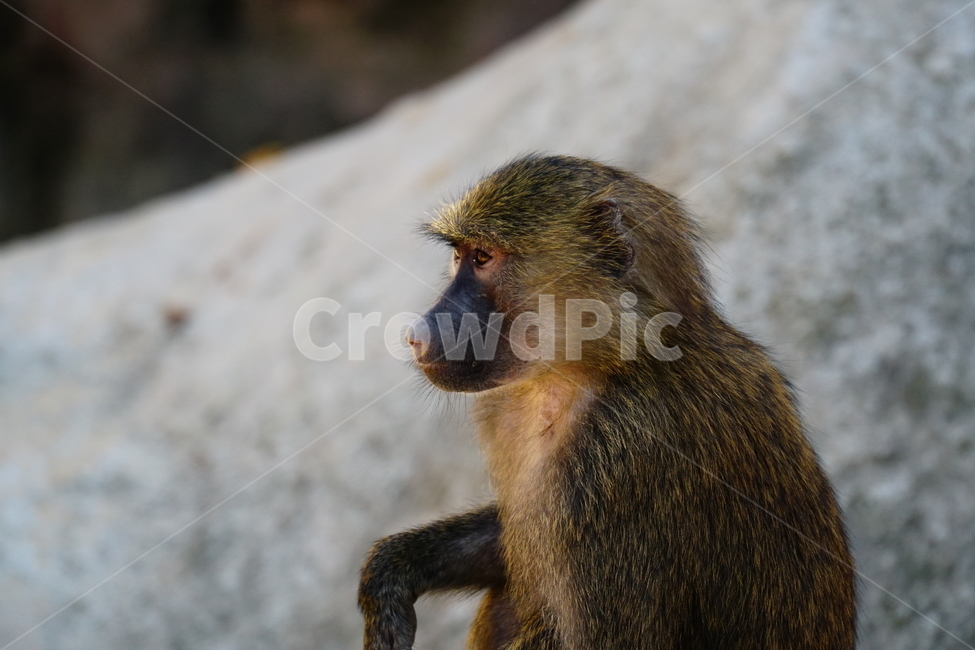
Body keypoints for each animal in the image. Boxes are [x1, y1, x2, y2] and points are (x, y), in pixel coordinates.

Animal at [358, 154, 857, 649]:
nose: (416, 334)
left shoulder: (621, 454)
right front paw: (391, 575)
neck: (604, 363)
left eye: (483, 257)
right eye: (459, 255)